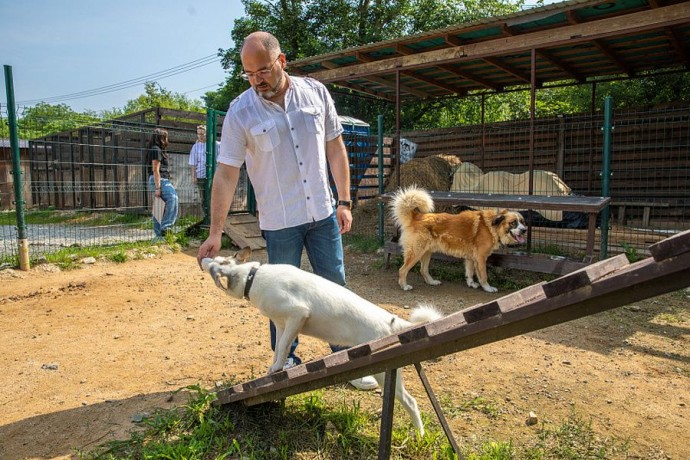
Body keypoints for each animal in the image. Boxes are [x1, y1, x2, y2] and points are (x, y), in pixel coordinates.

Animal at [202, 248, 444, 434]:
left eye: (216, 262)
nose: (203, 257)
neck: (251, 277)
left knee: (410, 401)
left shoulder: (298, 314)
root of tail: (391, 321)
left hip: (385, 373)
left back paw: (419, 434)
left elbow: (283, 347)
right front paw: (274, 368)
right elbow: (279, 348)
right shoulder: (281, 325)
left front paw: (278, 368)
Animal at [390, 186, 524, 292]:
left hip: (427, 252)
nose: (524, 230)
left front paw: (471, 284)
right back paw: (404, 286)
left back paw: (432, 282)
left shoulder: (471, 258)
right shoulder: (480, 258)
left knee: (423, 270)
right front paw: (488, 288)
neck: (492, 226)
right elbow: (483, 276)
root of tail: (417, 216)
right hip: (416, 252)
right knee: (402, 270)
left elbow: (469, 273)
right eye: (513, 223)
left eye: (522, 222)